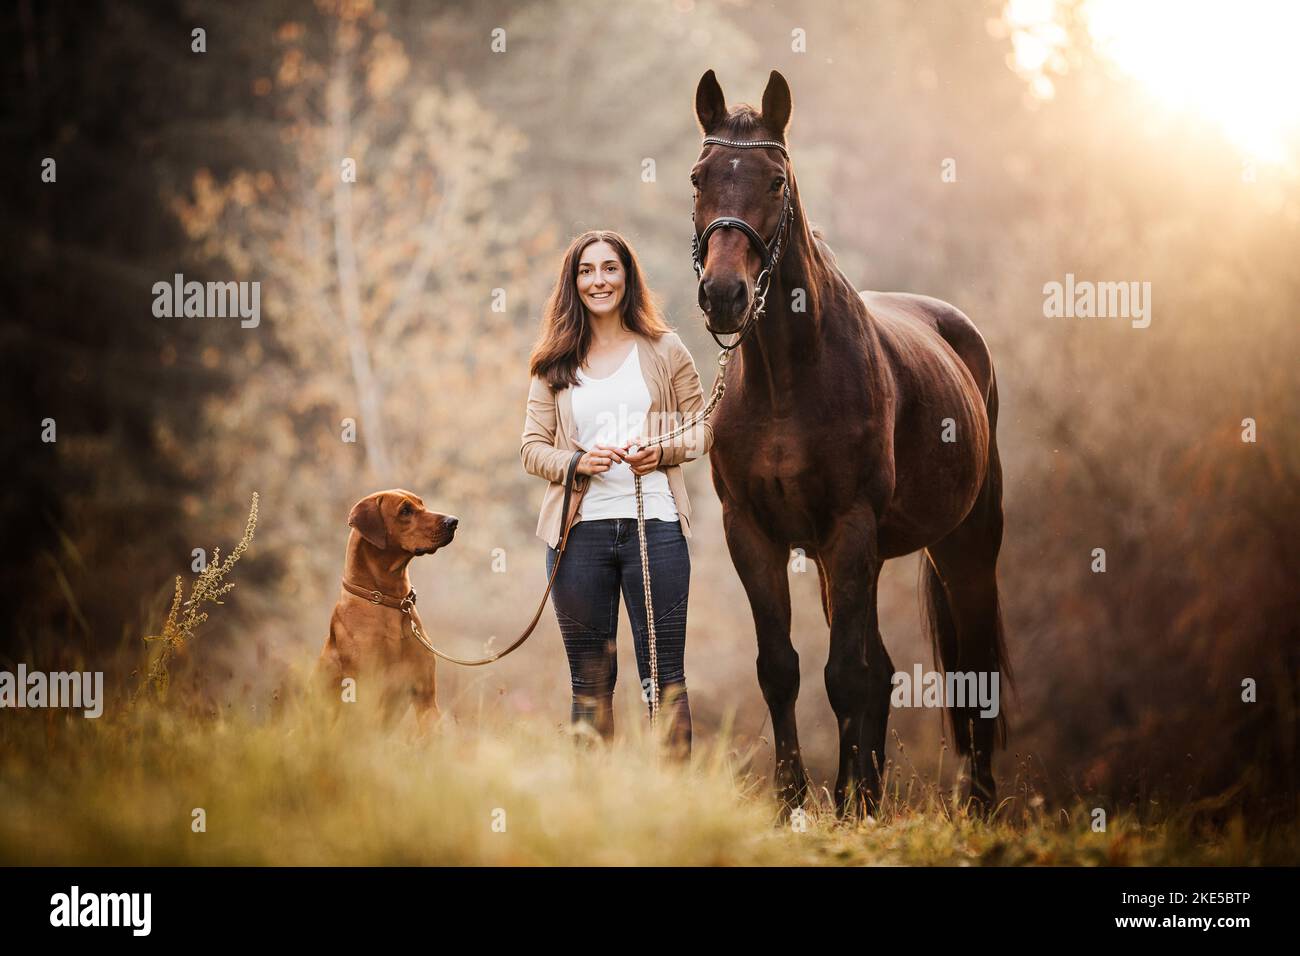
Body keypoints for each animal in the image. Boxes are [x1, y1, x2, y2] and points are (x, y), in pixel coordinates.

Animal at [691, 70, 1013, 819]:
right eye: (698, 177)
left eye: (776, 181)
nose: (724, 295)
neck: (788, 374)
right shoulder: (753, 532)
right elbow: (782, 670)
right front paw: (799, 804)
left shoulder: (850, 527)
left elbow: (844, 674)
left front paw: (843, 808)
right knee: (884, 671)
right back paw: (863, 792)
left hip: (966, 543)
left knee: (973, 663)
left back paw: (979, 807)